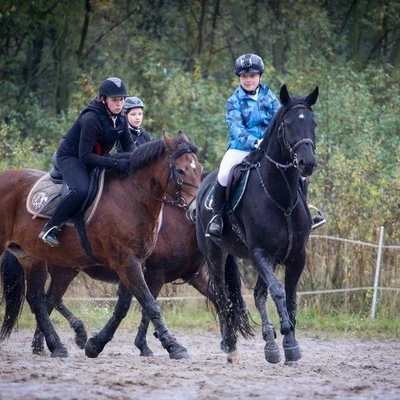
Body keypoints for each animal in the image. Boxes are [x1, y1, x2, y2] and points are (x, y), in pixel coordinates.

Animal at [0, 132, 202, 360]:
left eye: (199, 169)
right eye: (180, 170)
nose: (195, 210)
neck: (131, 198)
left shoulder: (135, 263)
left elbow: (124, 307)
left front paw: (95, 344)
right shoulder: (129, 263)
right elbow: (150, 304)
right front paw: (174, 346)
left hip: (33, 258)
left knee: (38, 299)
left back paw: (56, 345)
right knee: (45, 299)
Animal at [196, 85, 318, 366]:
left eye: (314, 123)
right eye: (287, 124)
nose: (307, 163)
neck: (281, 199)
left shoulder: (296, 256)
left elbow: (289, 295)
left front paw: (287, 343)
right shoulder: (260, 253)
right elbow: (278, 292)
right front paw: (290, 342)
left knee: (257, 295)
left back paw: (270, 344)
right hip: (215, 254)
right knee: (223, 297)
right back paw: (231, 347)